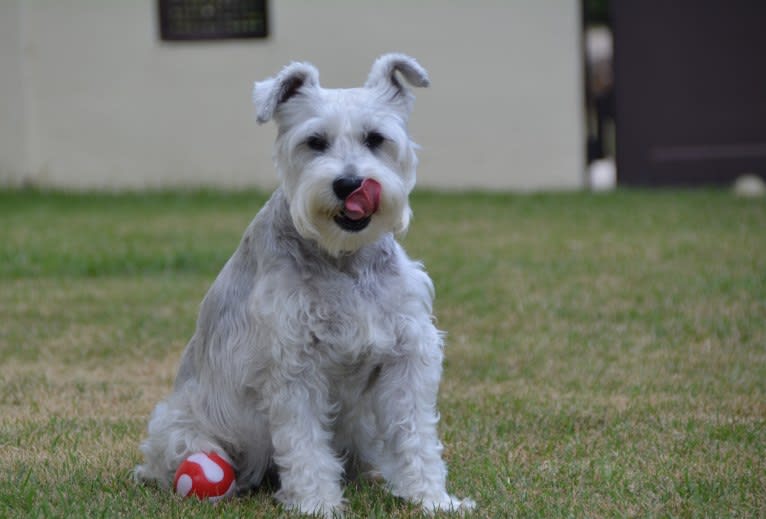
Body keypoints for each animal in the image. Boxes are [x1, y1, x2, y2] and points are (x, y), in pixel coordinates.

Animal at [136, 54, 474, 516]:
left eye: (375, 138)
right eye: (315, 141)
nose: (349, 184)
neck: (345, 261)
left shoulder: (407, 356)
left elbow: (415, 434)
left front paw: (432, 498)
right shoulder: (295, 368)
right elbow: (305, 445)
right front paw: (317, 503)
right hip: (182, 429)